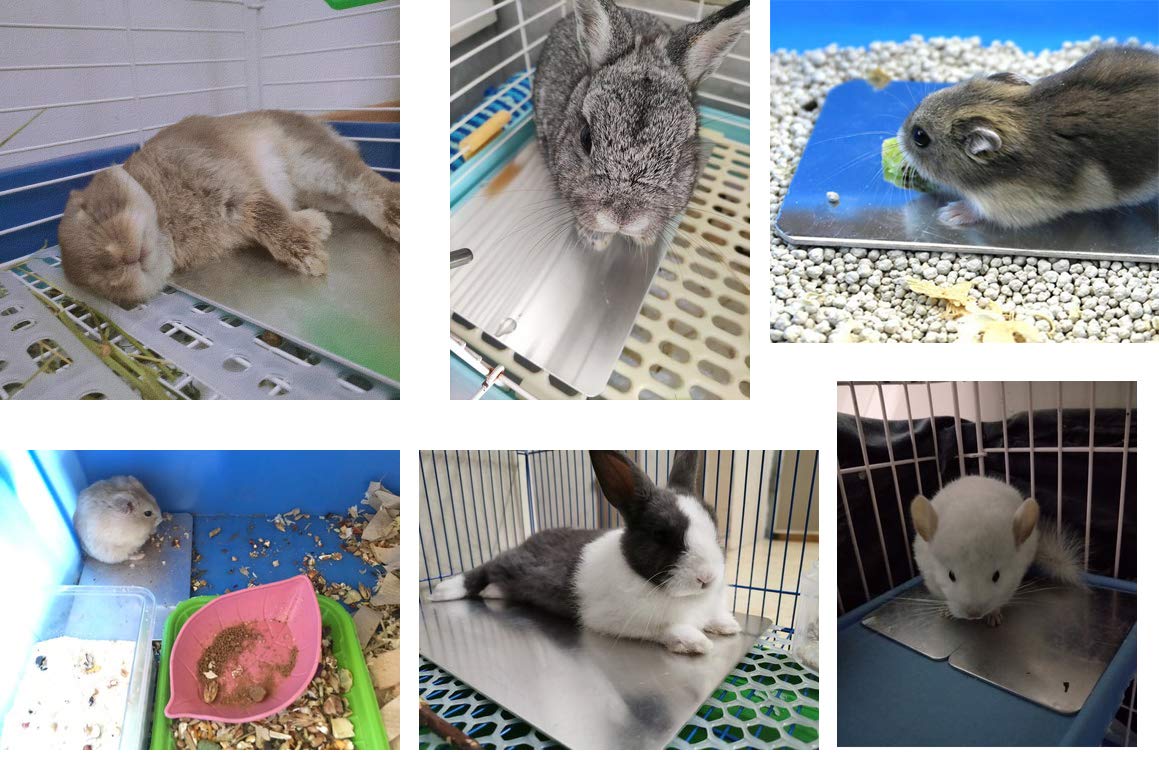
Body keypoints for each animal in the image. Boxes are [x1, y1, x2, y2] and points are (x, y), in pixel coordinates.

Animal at [57, 110, 401, 307]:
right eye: (98, 284)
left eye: (88, 211)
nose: (117, 260)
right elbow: (276, 220)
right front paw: (316, 229)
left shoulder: (234, 188)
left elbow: (268, 216)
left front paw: (310, 257)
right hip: (317, 188)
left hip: (311, 160)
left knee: (364, 183)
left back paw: (395, 216)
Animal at [430, 450, 741, 655]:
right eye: (661, 535)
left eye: (714, 524)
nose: (707, 578)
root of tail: (530, 539)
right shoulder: (614, 620)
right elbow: (667, 628)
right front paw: (696, 642)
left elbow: (715, 616)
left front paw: (729, 625)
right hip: (513, 564)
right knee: (486, 566)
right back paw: (444, 590)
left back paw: (490, 592)